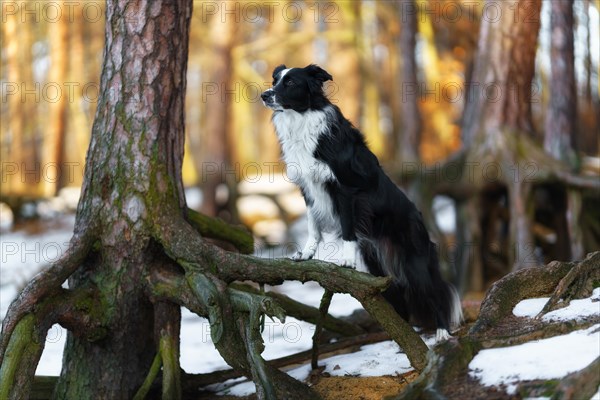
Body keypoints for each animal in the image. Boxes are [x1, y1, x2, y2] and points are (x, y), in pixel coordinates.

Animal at [260, 64, 462, 340]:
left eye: (290, 83)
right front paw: (306, 254)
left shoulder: (345, 191)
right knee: (397, 300)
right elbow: (313, 226)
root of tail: (419, 218)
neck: (302, 119)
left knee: (433, 294)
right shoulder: (308, 189)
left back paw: (441, 332)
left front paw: (346, 261)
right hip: (377, 265)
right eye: (275, 81)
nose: (264, 95)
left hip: (414, 261)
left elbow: (347, 230)